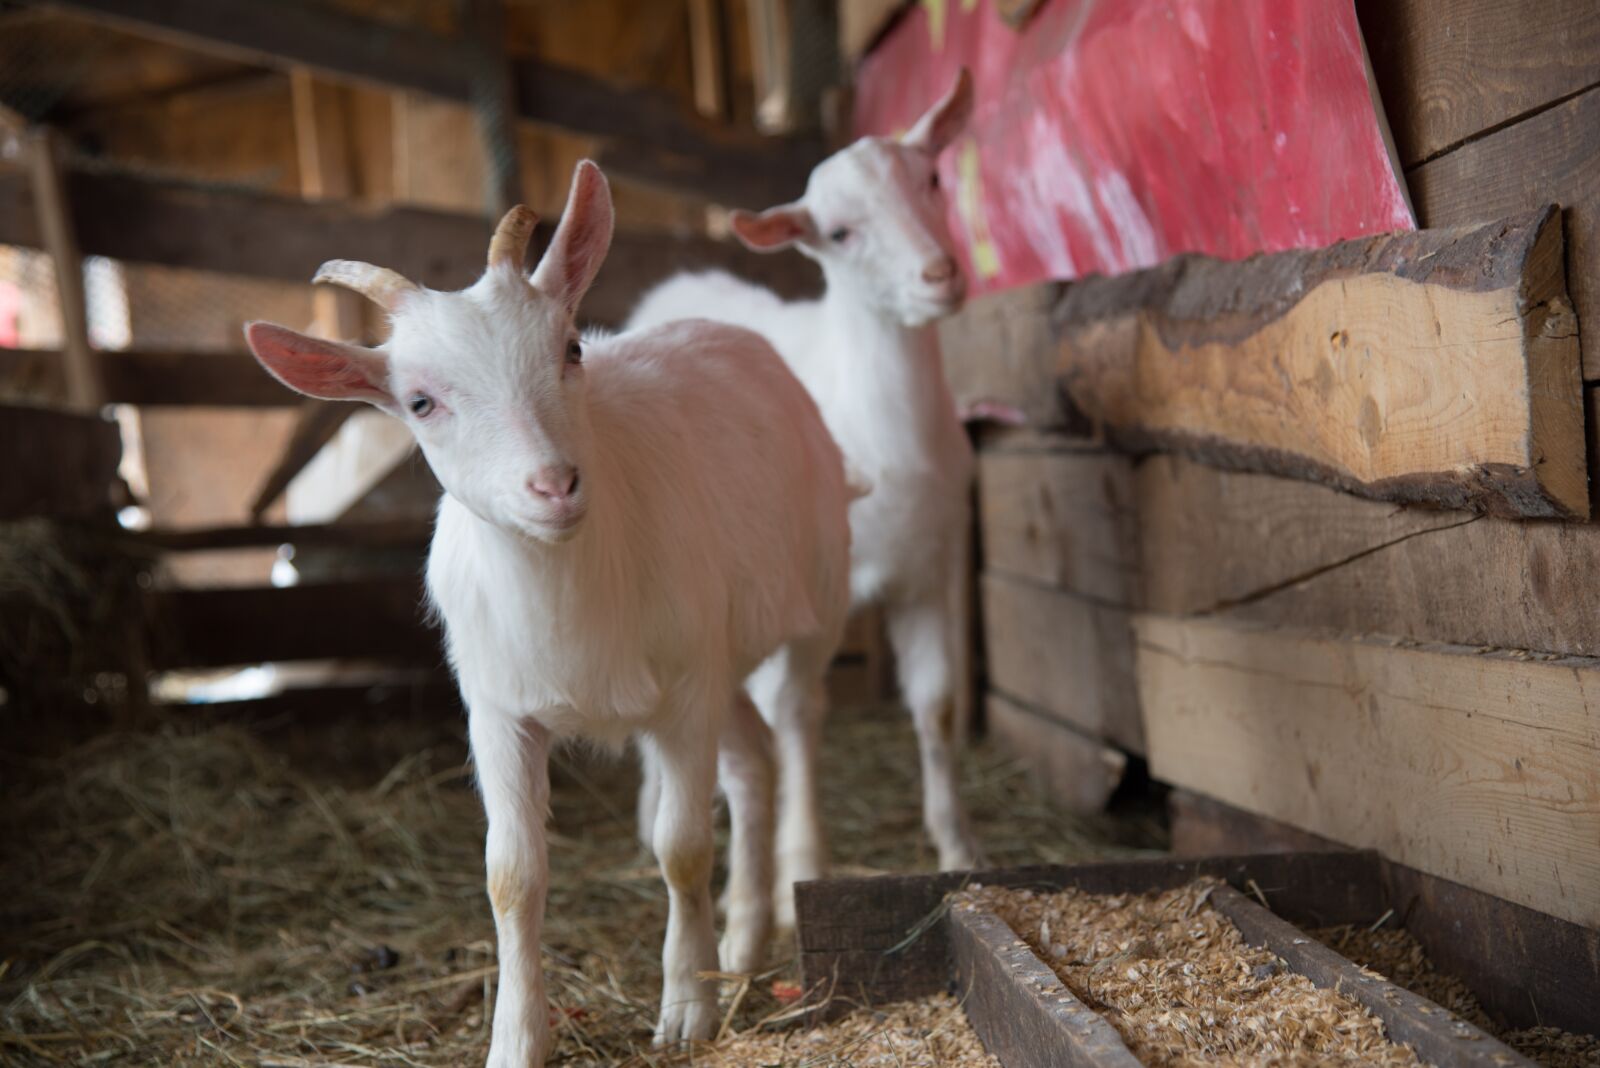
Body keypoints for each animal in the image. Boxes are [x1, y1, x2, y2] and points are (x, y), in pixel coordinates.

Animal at [244, 160, 854, 1066]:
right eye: (420, 403)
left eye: (571, 348)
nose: (554, 485)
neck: (571, 585)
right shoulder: (500, 710)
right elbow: (511, 877)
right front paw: (516, 1040)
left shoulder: (681, 696)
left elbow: (680, 848)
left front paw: (685, 1010)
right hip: (716, 660)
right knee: (751, 765)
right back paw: (741, 948)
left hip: (806, 609)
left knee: (798, 725)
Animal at [629, 69, 982, 926]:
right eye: (841, 233)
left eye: (931, 178)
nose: (940, 274)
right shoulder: (817, 594)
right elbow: (799, 712)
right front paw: (800, 866)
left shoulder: (931, 568)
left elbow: (937, 705)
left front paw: (958, 846)